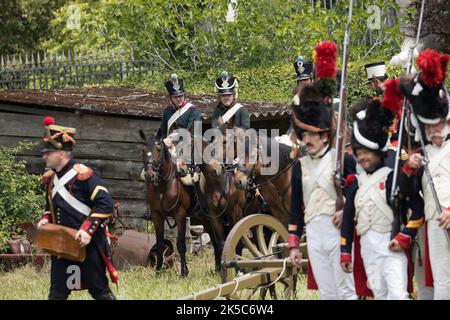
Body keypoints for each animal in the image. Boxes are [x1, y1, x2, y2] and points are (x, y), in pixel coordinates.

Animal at [140, 130, 194, 278]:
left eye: (159, 149)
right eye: (143, 150)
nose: (149, 175)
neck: (163, 187)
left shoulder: (180, 216)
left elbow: (181, 244)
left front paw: (184, 272)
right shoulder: (157, 216)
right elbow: (159, 244)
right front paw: (158, 270)